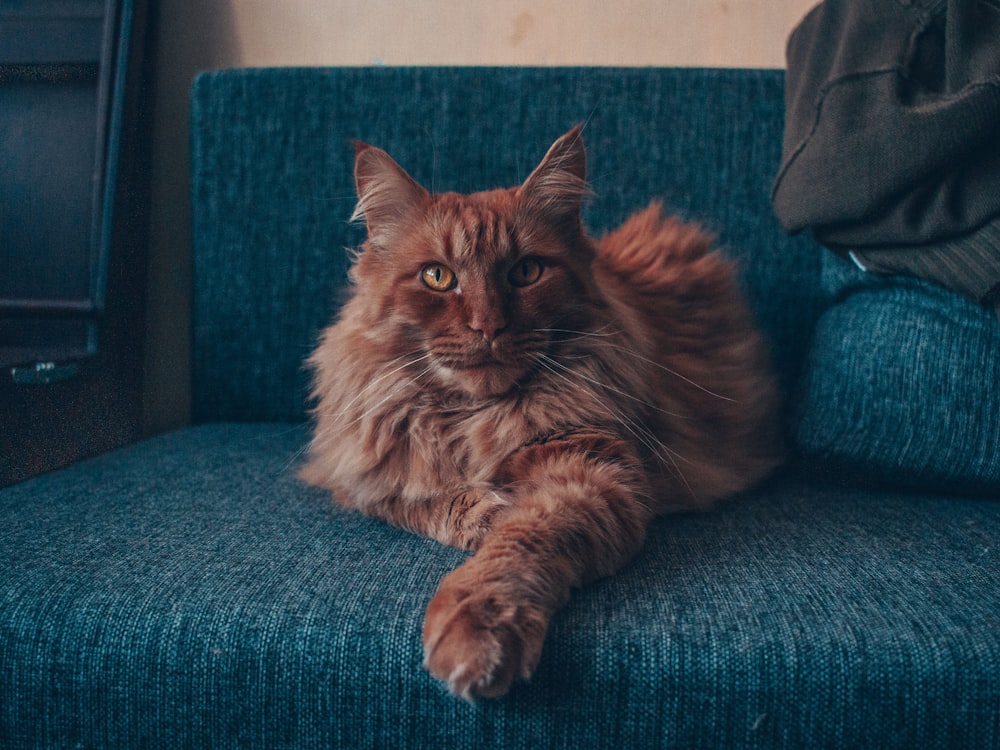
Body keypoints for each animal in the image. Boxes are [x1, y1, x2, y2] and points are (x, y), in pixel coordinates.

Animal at [300, 126, 784, 704]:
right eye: (438, 277)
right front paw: (486, 513)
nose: (489, 326)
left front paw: (477, 626)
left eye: (526, 272)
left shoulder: (590, 470)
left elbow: (523, 540)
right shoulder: (362, 473)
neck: (472, 417)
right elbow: (424, 499)